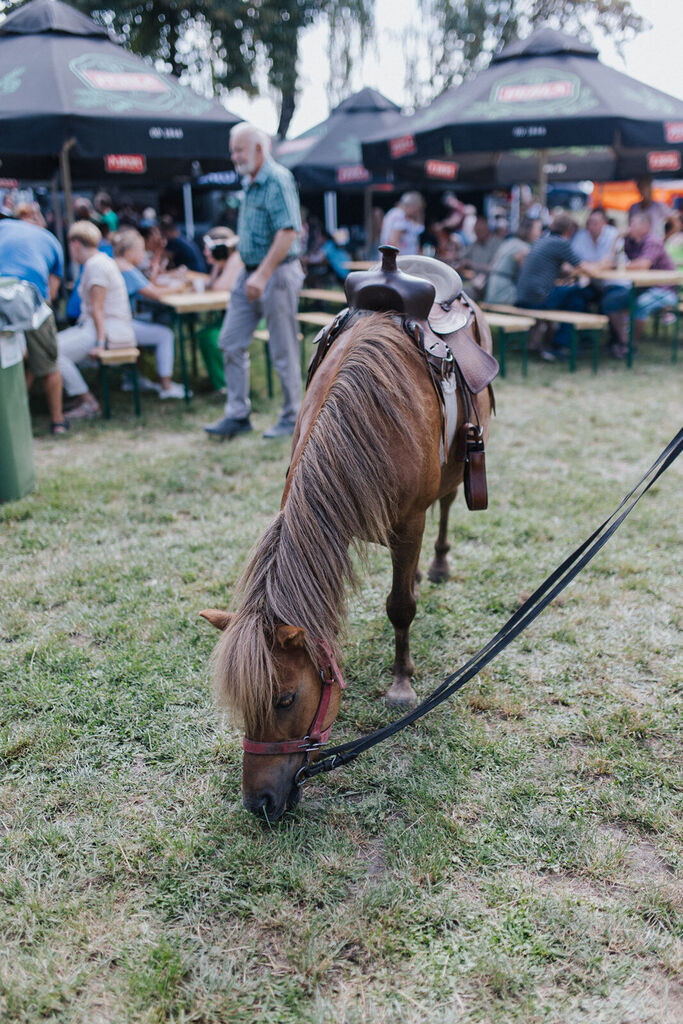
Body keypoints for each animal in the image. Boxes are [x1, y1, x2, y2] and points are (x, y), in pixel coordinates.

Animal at [200, 307, 493, 819]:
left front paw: (401, 684)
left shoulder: (410, 524)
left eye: (285, 699)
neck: (368, 424)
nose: (259, 804)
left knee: (447, 504)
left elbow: (400, 607)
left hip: (455, 472)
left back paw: (437, 565)